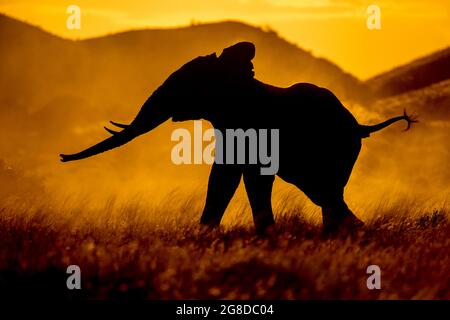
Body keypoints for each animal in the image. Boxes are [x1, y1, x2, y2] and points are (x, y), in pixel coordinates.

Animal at [60, 41, 418, 234]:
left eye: (183, 86)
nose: (61, 157)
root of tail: (361, 127)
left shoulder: (253, 128)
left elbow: (248, 177)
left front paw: (264, 235)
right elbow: (223, 176)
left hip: (333, 151)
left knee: (324, 192)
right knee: (328, 195)